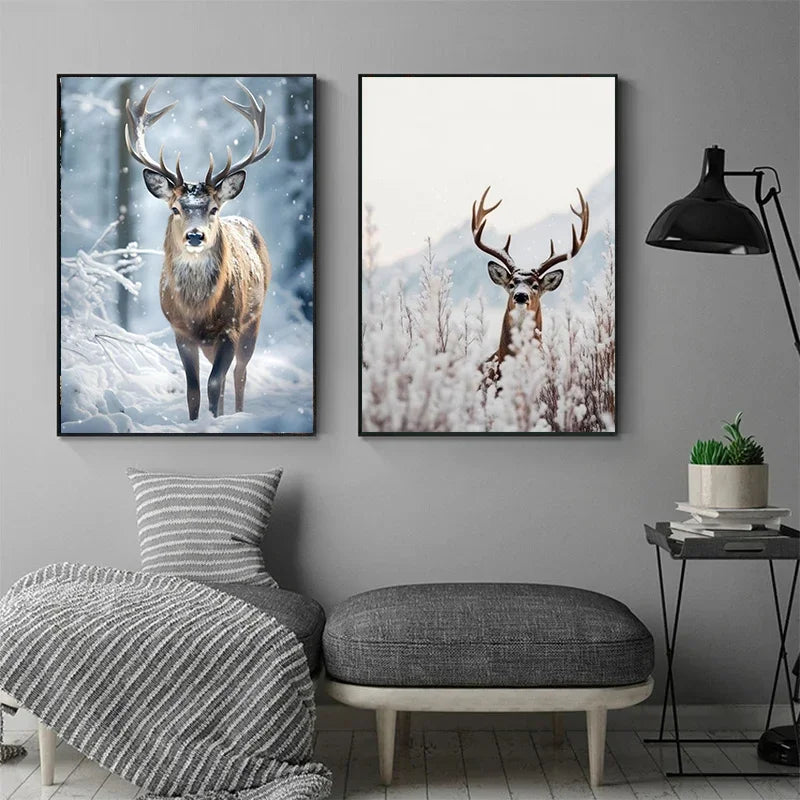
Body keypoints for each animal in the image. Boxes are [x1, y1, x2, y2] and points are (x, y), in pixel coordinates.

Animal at [125, 81, 275, 421]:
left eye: (214, 209)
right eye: (176, 208)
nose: (195, 236)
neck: (198, 312)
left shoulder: (230, 327)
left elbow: (214, 383)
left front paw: (216, 420)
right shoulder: (180, 331)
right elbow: (193, 389)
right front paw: (196, 421)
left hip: (254, 319)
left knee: (240, 373)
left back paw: (237, 413)